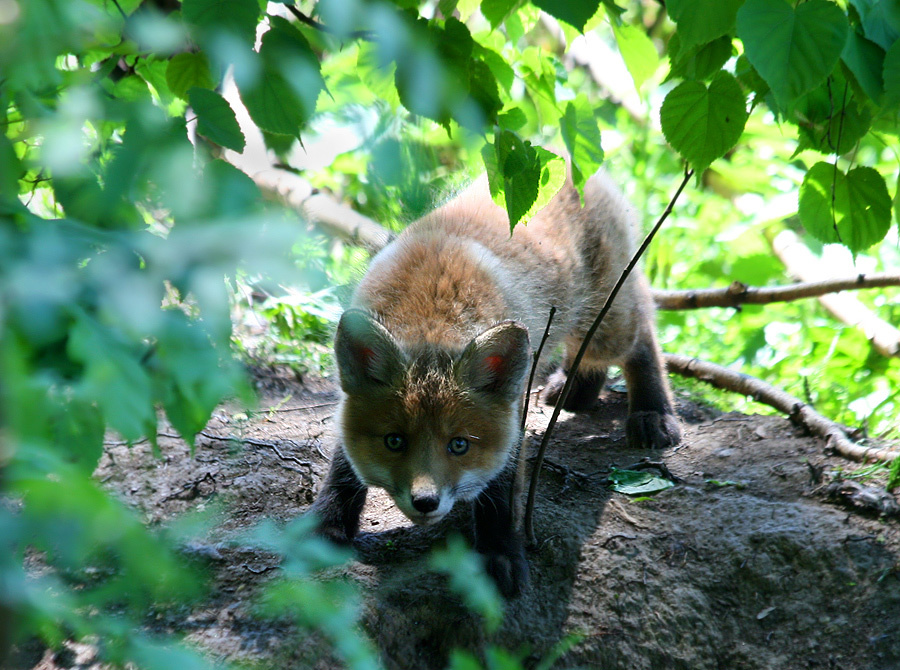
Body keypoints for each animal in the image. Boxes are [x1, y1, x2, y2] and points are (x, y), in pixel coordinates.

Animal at [310, 170, 681, 598]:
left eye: (459, 445)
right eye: (394, 441)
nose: (426, 501)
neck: (430, 321)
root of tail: (577, 168)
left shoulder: (510, 415)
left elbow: (499, 494)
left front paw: (499, 553)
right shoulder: (349, 402)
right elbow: (342, 470)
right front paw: (326, 529)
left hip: (608, 327)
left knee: (643, 333)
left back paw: (653, 412)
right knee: (589, 355)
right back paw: (577, 392)